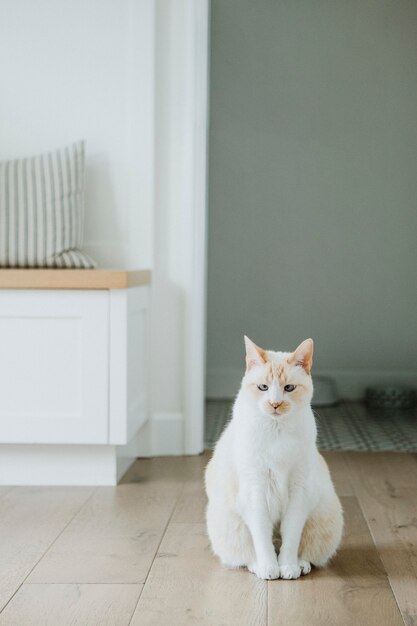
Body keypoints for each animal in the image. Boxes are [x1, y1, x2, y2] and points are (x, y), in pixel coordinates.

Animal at [203, 336, 342, 580]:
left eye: (289, 388)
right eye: (263, 387)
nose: (275, 403)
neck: (276, 430)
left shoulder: (298, 489)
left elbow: (291, 534)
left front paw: (287, 567)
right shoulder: (255, 489)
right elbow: (262, 534)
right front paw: (269, 568)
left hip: (324, 515)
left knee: (302, 549)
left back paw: (300, 565)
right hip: (229, 524)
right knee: (247, 553)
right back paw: (258, 566)